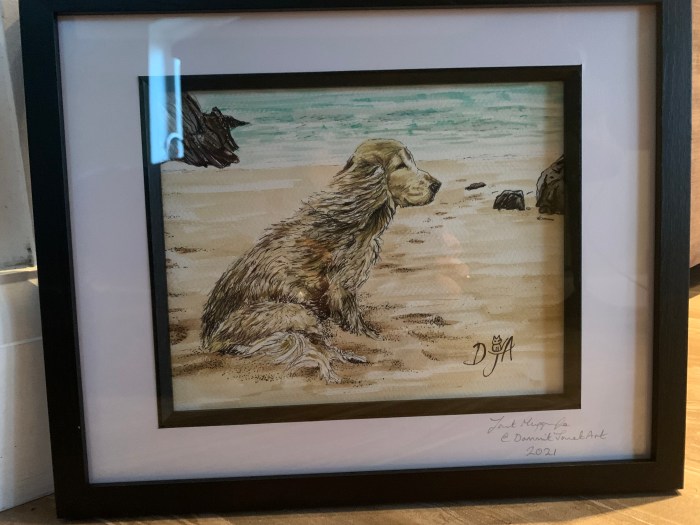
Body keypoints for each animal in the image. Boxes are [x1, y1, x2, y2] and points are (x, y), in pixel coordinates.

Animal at [200, 139, 441, 382]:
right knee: (317, 346)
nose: (437, 185)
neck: (354, 218)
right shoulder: (342, 288)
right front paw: (371, 337)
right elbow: (355, 322)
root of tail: (209, 339)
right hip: (297, 311)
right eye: (401, 165)